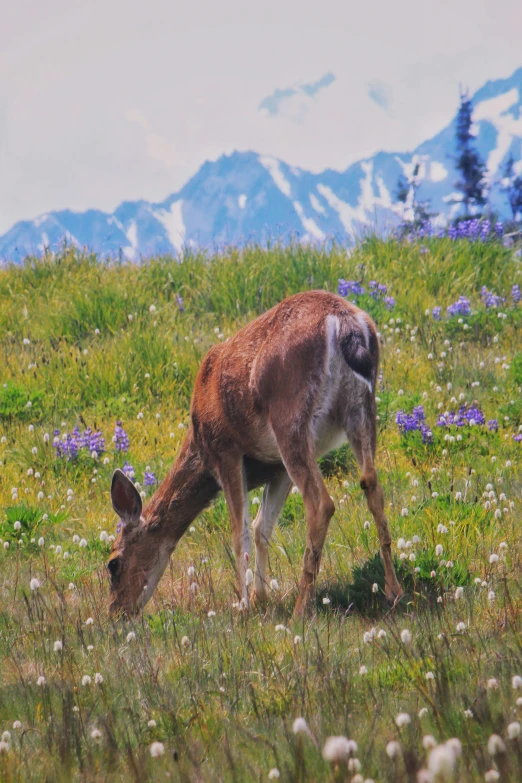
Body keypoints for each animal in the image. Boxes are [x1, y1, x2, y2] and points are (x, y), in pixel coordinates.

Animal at [106, 290, 402, 620]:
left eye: (113, 563)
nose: (116, 612)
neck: (198, 444)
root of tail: (345, 323)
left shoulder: (226, 450)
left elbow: (241, 533)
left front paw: (244, 605)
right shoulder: (276, 468)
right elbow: (262, 527)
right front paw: (261, 597)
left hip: (290, 418)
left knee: (321, 504)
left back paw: (301, 608)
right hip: (361, 409)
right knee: (371, 484)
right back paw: (393, 591)